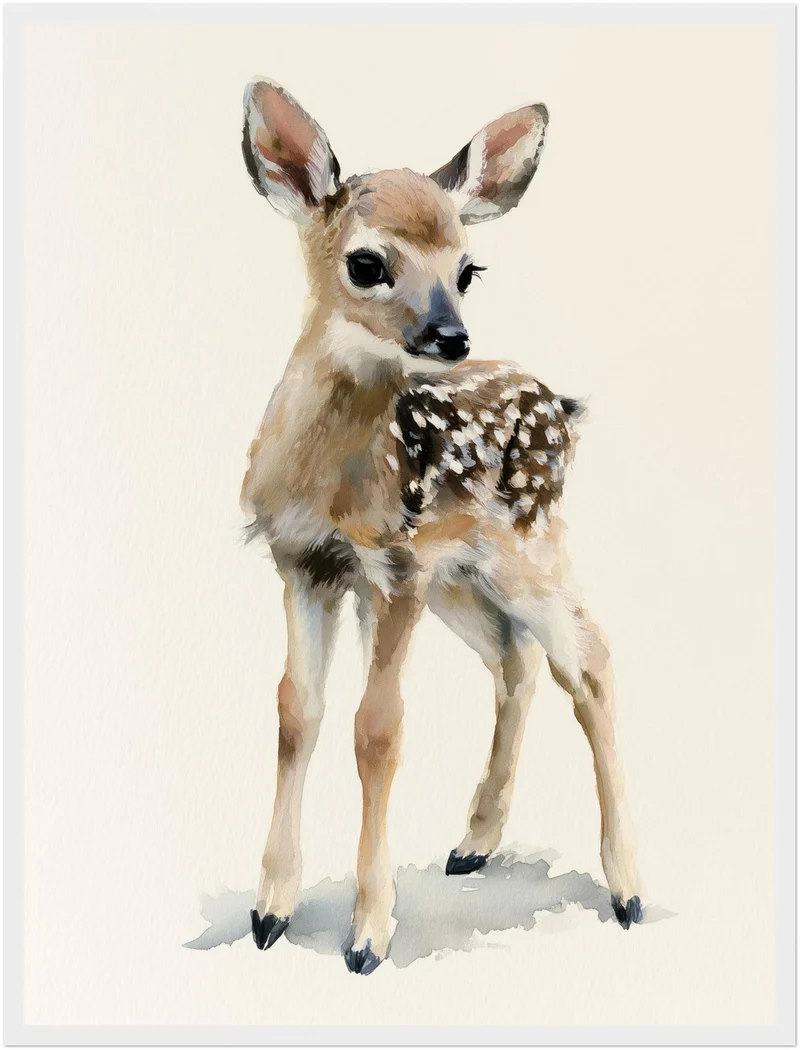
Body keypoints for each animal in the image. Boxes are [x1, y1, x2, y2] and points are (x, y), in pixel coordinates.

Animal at [239, 78, 643, 975]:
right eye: (367, 262)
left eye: (468, 268)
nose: (450, 336)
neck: (331, 480)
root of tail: (560, 406)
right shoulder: (304, 565)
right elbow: (295, 714)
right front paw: (269, 911)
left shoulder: (392, 569)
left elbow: (377, 729)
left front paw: (368, 934)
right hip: (461, 578)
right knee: (514, 661)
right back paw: (475, 841)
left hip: (525, 548)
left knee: (590, 661)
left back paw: (629, 889)